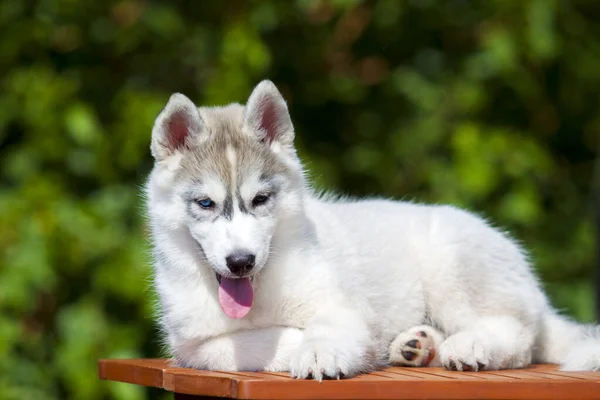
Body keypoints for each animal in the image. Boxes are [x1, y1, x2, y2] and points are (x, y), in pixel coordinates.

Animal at [145, 79, 600, 380]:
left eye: (260, 200)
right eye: (206, 203)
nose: (241, 262)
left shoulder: (339, 305)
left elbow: (321, 329)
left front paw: (322, 353)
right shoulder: (192, 346)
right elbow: (245, 345)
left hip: (455, 267)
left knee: (519, 335)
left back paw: (469, 345)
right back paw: (415, 346)